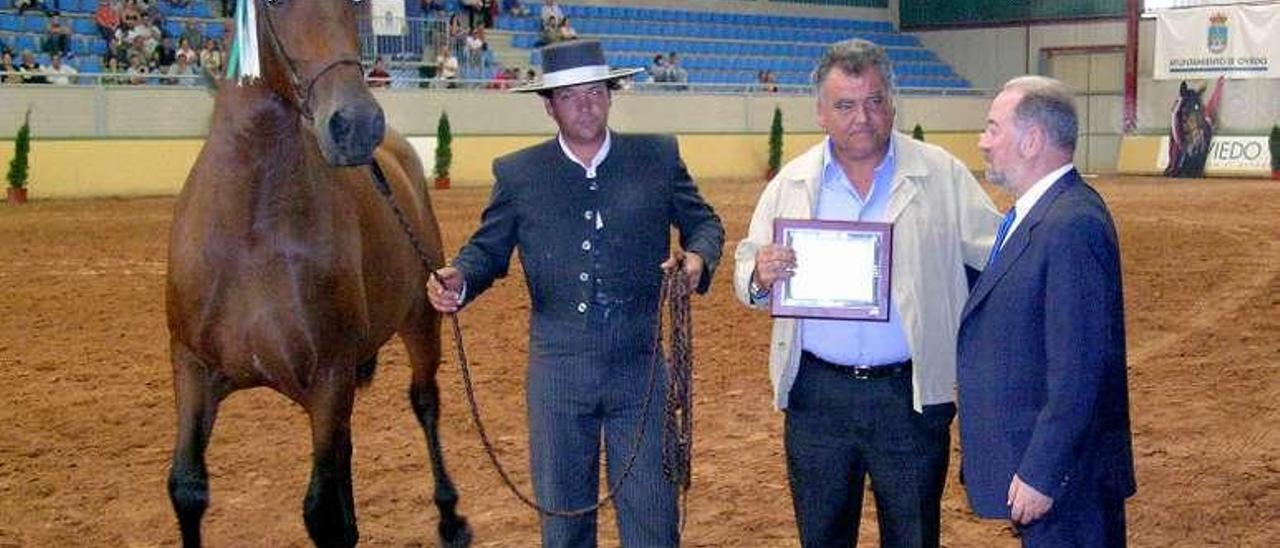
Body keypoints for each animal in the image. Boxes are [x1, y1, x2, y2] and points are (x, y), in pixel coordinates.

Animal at [165, 2, 473, 545]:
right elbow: (187, 487)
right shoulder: (192, 368)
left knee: (424, 402)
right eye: (273, 5)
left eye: (357, 6)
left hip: (421, 322)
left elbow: (324, 514)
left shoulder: (329, 380)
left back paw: (449, 516)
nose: (357, 124)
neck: (251, 229)